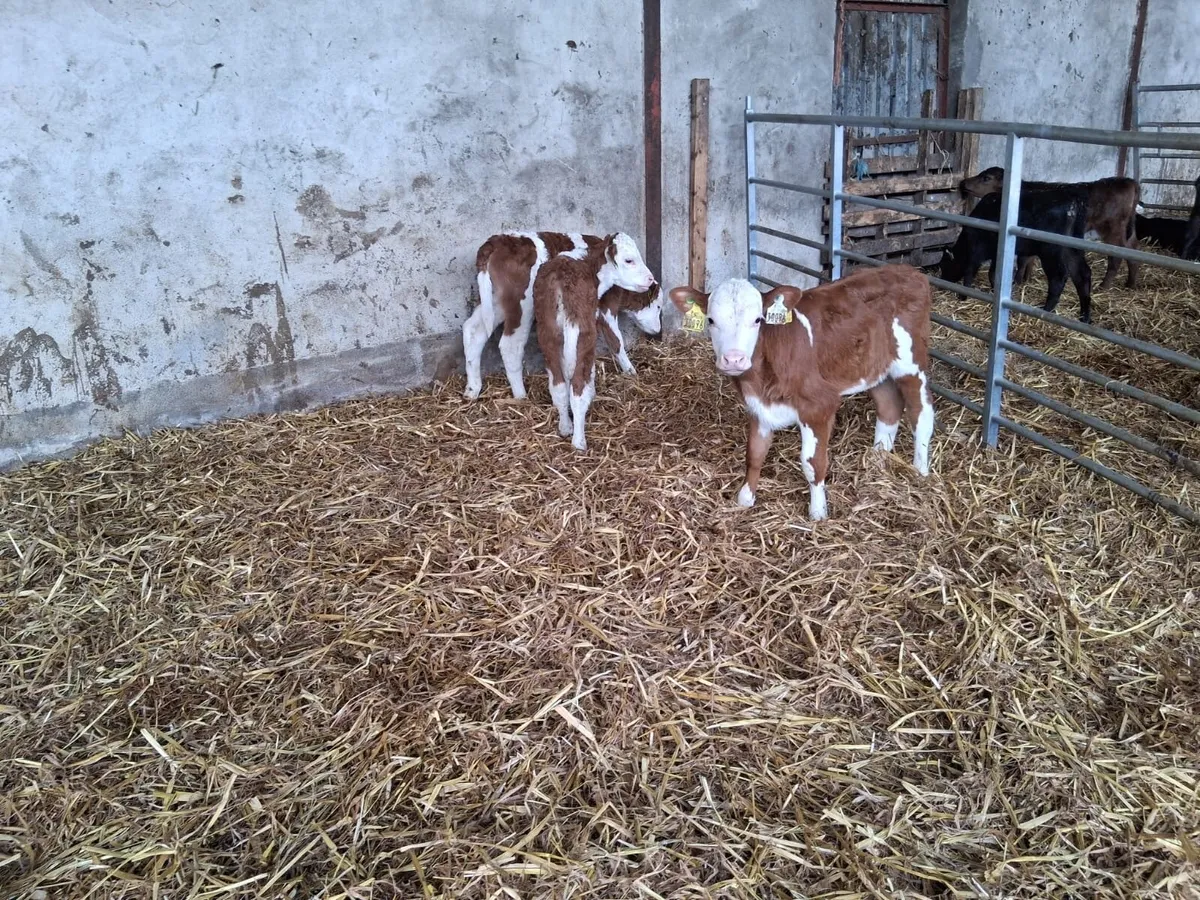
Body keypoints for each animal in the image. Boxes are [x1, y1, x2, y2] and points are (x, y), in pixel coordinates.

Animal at [463, 232, 662, 401]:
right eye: (658, 306)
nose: (658, 330)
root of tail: (496, 242)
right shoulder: (606, 308)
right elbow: (616, 341)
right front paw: (631, 371)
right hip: (521, 305)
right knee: (510, 344)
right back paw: (521, 396)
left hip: (495, 302)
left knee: (473, 330)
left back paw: (472, 389)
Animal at [534, 233, 656, 452]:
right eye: (629, 260)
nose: (650, 279)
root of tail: (559, 279)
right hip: (583, 331)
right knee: (577, 387)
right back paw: (579, 441)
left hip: (547, 331)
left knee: (558, 385)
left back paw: (565, 427)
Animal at [668, 265, 934, 521]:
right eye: (711, 320)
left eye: (758, 320)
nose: (734, 359)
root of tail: (910, 271)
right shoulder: (758, 407)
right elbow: (754, 454)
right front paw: (745, 499)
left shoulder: (818, 406)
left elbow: (812, 463)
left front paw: (818, 513)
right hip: (874, 368)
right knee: (889, 406)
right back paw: (876, 461)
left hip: (911, 364)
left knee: (921, 413)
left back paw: (920, 471)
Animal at [939, 188, 1095, 322]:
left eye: (944, 265)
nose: (941, 283)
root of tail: (1072, 199)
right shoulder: (996, 254)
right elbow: (992, 273)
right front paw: (995, 291)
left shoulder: (976, 253)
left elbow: (969, 273)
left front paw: (962, 296)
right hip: (1072, 248)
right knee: (1082, 275)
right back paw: (1084, 316)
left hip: (1051, 250)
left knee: (1058, 277)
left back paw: (1046, 309)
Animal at [960, 167, 1140, 289]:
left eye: (986, 178)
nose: (963, 182)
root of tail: (1128, 181)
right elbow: (1029, 259)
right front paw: (1026, 279)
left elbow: (1023, 259)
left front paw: (1017, 281)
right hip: (1125, 230)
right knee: (1132, 249)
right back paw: (1131, 284)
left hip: (1112, 228)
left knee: (1117, 256)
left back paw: (1104, 286)